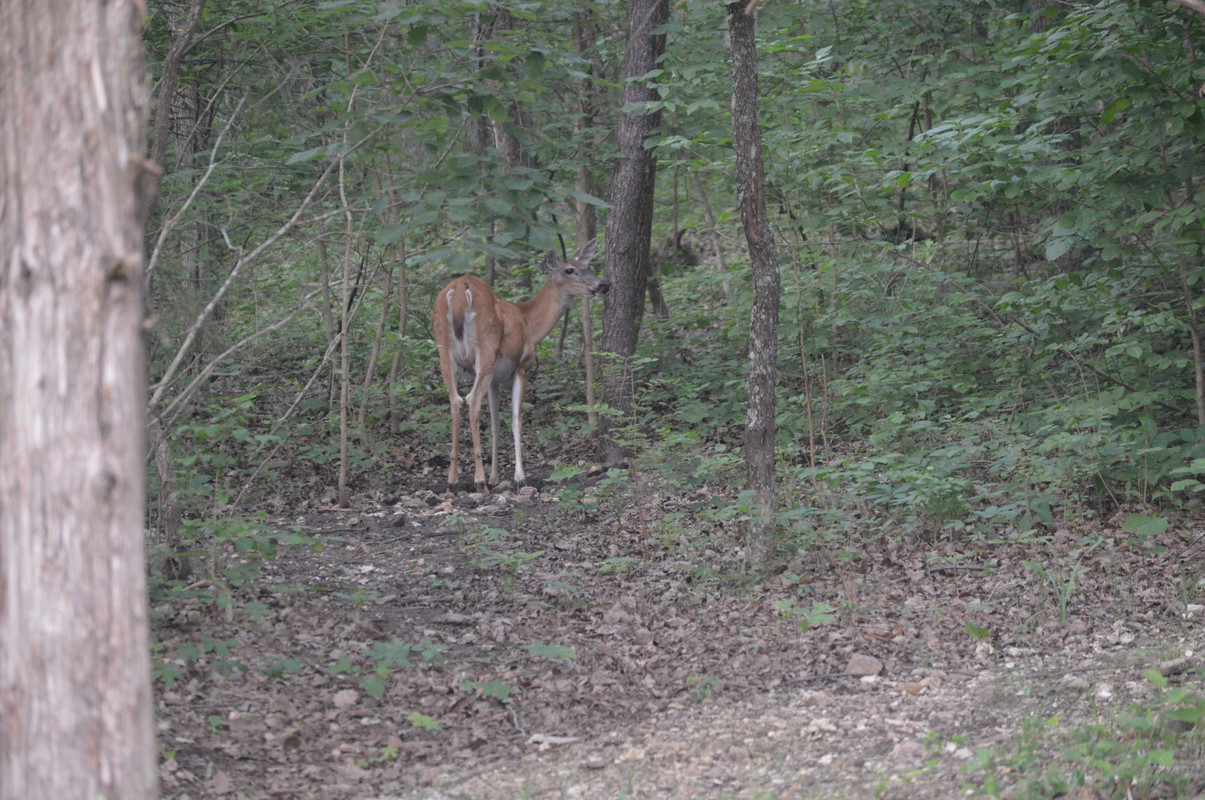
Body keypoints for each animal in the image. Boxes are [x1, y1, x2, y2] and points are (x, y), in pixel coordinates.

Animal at [433, 240, 608, 495]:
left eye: (586, 265)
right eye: (570, 270)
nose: (603, 284)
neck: (529, 325)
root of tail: (458, 292)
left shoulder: (495, 380)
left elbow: (495, 425)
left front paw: (495, 477)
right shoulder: (522, 366)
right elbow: (516, 421)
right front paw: (519, 477)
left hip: (444, 351)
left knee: (455, 401)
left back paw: (453, 482)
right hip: (486, 348)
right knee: (471, 400)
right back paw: (478, 481)